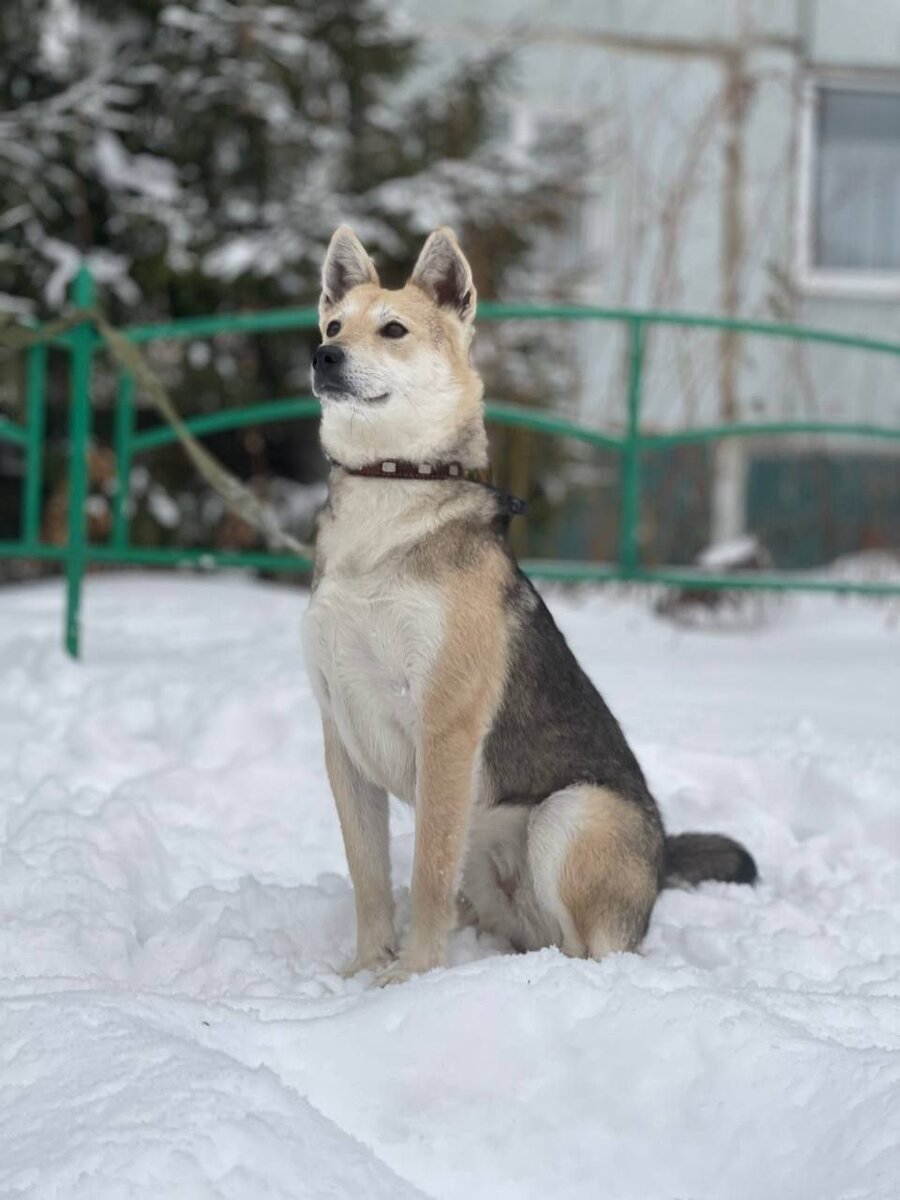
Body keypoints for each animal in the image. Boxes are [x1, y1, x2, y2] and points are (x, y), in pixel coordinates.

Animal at [301, 225, 753, 984]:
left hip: (570, 815)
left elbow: (425, 873)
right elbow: (369, 878)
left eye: (392, 330)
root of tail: (659, 866)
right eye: (333, 327)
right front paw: (363, 969)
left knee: (590, 949)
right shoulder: (342, 735)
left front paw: (412, 976)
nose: (323, 357)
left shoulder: (446, 729)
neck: (391, 489)